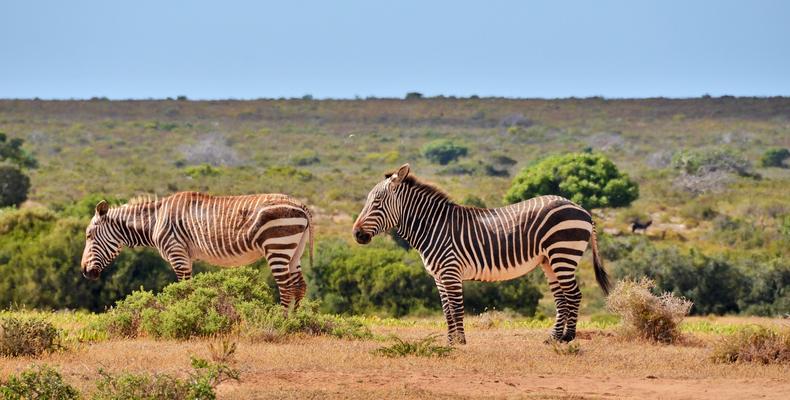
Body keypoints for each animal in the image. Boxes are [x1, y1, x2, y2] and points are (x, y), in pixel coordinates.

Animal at [80, 191, 314, 310]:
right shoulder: (187, 257)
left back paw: (280, 322)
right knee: (299, 286)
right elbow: (190, 288)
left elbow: (184, 289)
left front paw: (187, 315)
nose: (84, 271)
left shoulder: (177, 253)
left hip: (277, 245)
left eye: (89, 235)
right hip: (294, 250)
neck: (155, 220)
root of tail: (301, 205)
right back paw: (295, 323)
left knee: (286, 287)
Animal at [352, 164, 610, 344]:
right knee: (561, 298)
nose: (356, 234)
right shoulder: (439, 276)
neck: (433, 226)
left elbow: (456, 308)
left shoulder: (450, 271)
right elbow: (447, 310)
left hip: (563, 253)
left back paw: (567, 338)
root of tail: (581, 209)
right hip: (549, 260)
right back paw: (553, 338)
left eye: (377, 202)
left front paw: (459, 342)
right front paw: (451, 341)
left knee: (573, 295)